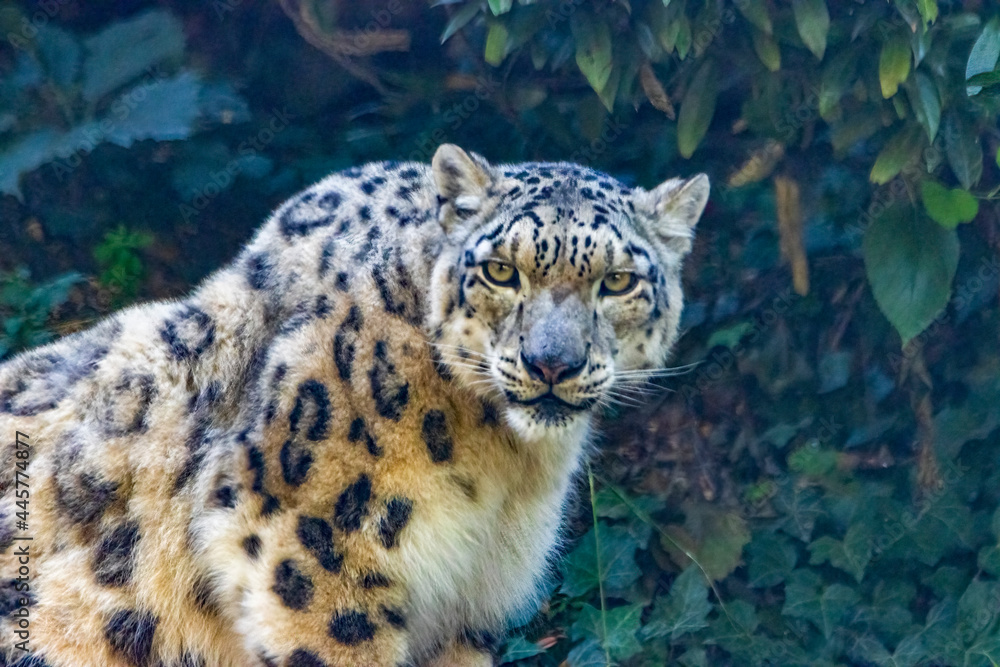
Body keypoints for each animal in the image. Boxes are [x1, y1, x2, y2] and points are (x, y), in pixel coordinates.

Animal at [0, 144, 708, 667]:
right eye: (502, 271)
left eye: (617, 281)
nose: (552, 363)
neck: (506, 469)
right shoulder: (313, 557)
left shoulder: (467, 610)